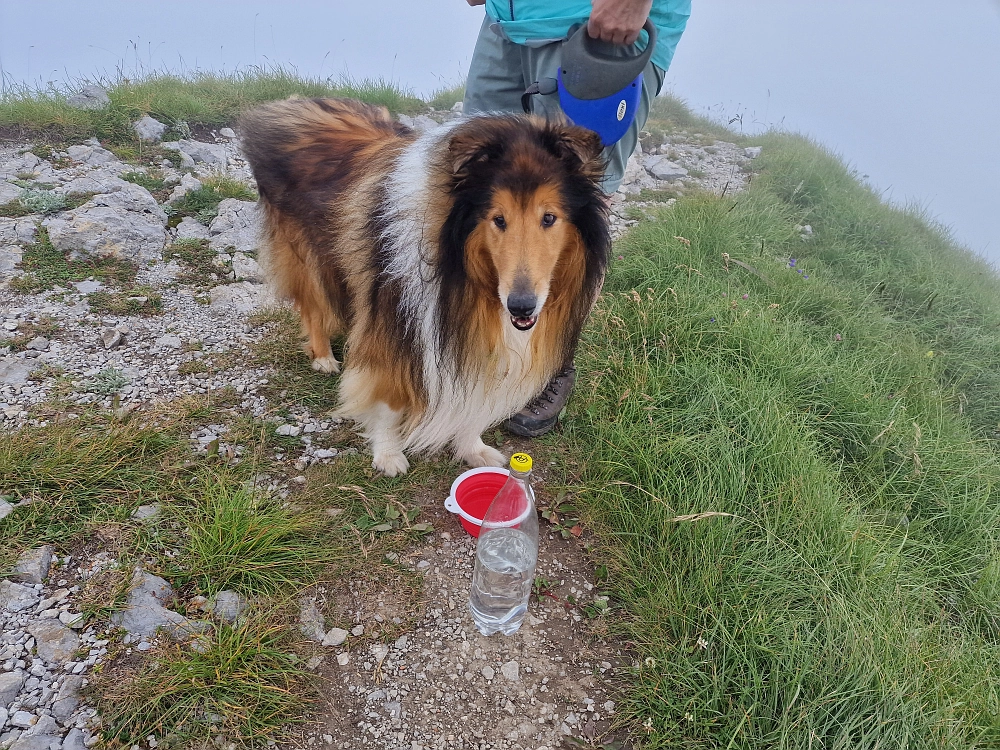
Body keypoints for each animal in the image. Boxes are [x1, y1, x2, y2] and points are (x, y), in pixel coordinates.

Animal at [240, 100, 608, 476]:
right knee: (314, 308)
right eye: (498, 219)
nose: (521, 306)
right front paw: (388, 454)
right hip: (309, 259)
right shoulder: (394, 318)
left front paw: (472, 447)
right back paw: (323, 356)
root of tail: (284, 106)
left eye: (549, 218)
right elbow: (387, 399)